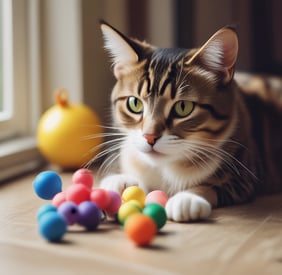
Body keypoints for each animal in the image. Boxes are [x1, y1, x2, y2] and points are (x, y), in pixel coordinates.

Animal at [96, 20, 280, 223]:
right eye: (134, 103)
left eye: (183, 107)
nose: (149, 136)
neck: (165, 168)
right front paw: (118, 181)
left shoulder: (245, 175)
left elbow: (210, 185)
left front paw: (187, 198)